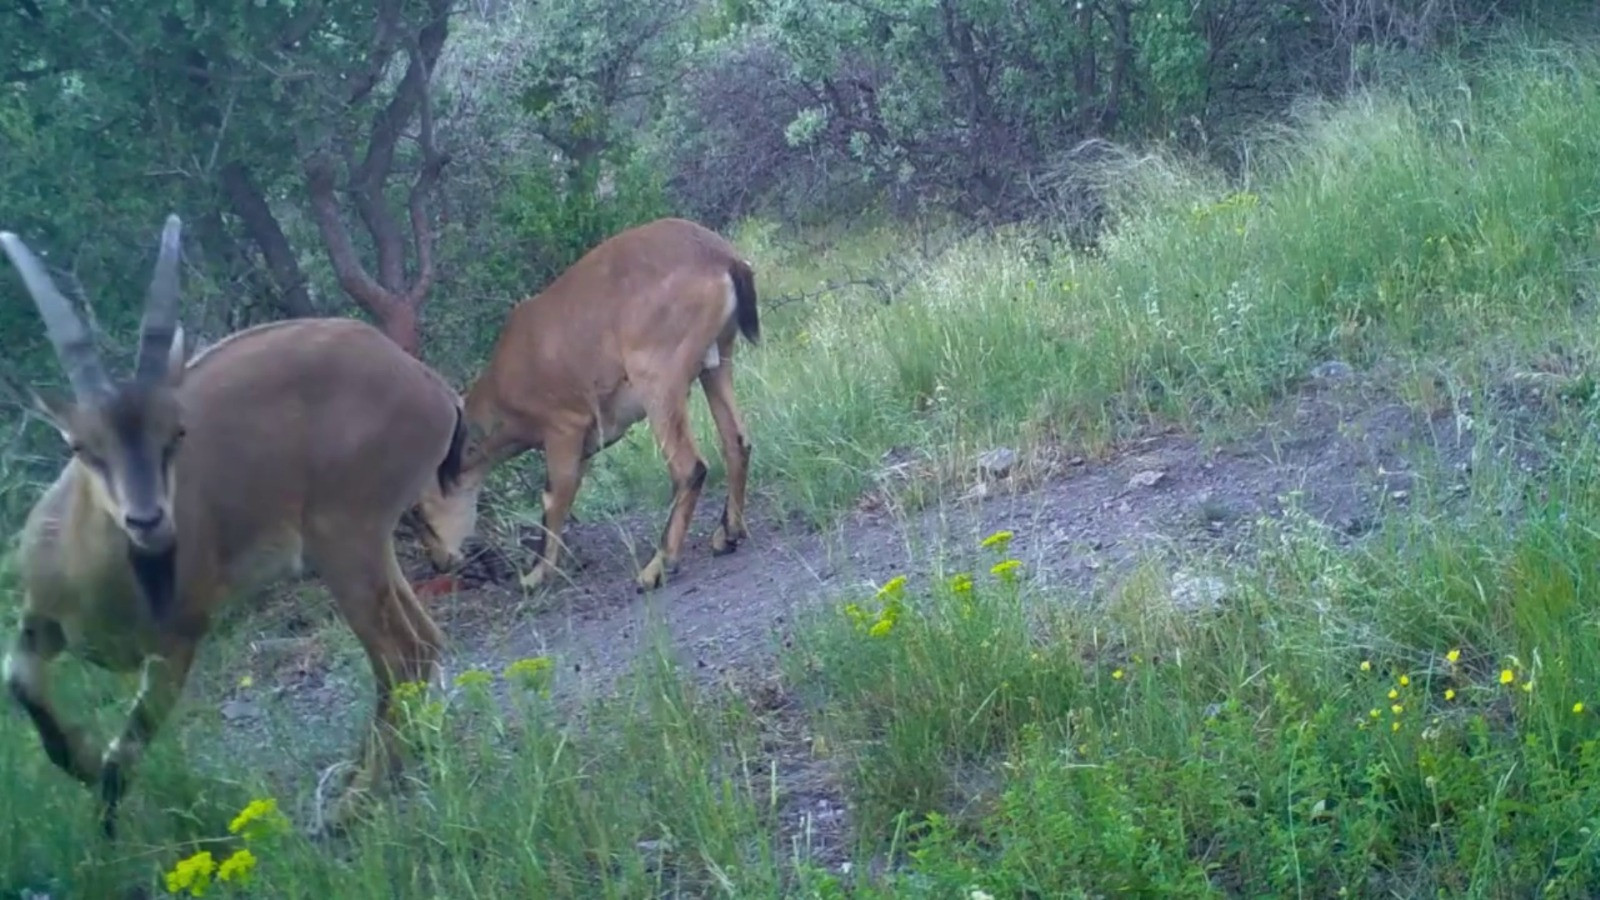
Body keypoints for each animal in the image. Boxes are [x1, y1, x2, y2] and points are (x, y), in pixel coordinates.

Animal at [0, 214, 468, 838]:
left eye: (176, 433)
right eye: (80, 446)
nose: (148, 522)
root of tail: (427, 384)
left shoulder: (179, 641)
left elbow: (125, 753)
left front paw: (108, 821)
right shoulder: (41, 615)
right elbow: (22, 682)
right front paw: (78, 760)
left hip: (344, 537)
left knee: (400, 654)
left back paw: (349, 805)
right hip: (368, 543)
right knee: (423, 642)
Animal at [414, 217, 759, 594]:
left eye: (419, 511)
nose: (441, 561)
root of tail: (723, 259)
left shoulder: (563, 427)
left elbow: (553, 496)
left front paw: (535, 576)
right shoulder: (586, 443)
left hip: (658, 381)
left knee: (689, 467)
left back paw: (655, 568)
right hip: (717, 362)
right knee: (736, 440)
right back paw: (728, 534)